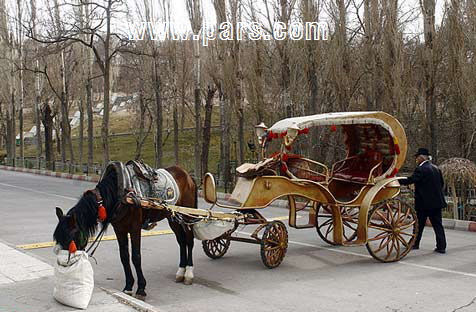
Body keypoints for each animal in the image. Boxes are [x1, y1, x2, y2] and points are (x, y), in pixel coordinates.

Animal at [53, 162, 197, 298]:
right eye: (59, 239)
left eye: (72, 237)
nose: (65, 264)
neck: (120, 195)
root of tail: (187, 175)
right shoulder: (119, 229)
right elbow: (124, 256)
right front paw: (128, 286)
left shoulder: (135, 228)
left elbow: (136, 257)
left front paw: (141, 288)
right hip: (173, 217)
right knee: (181, 241)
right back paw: (181, 271)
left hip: (188, 215)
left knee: (189, 241)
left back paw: (189, 273)